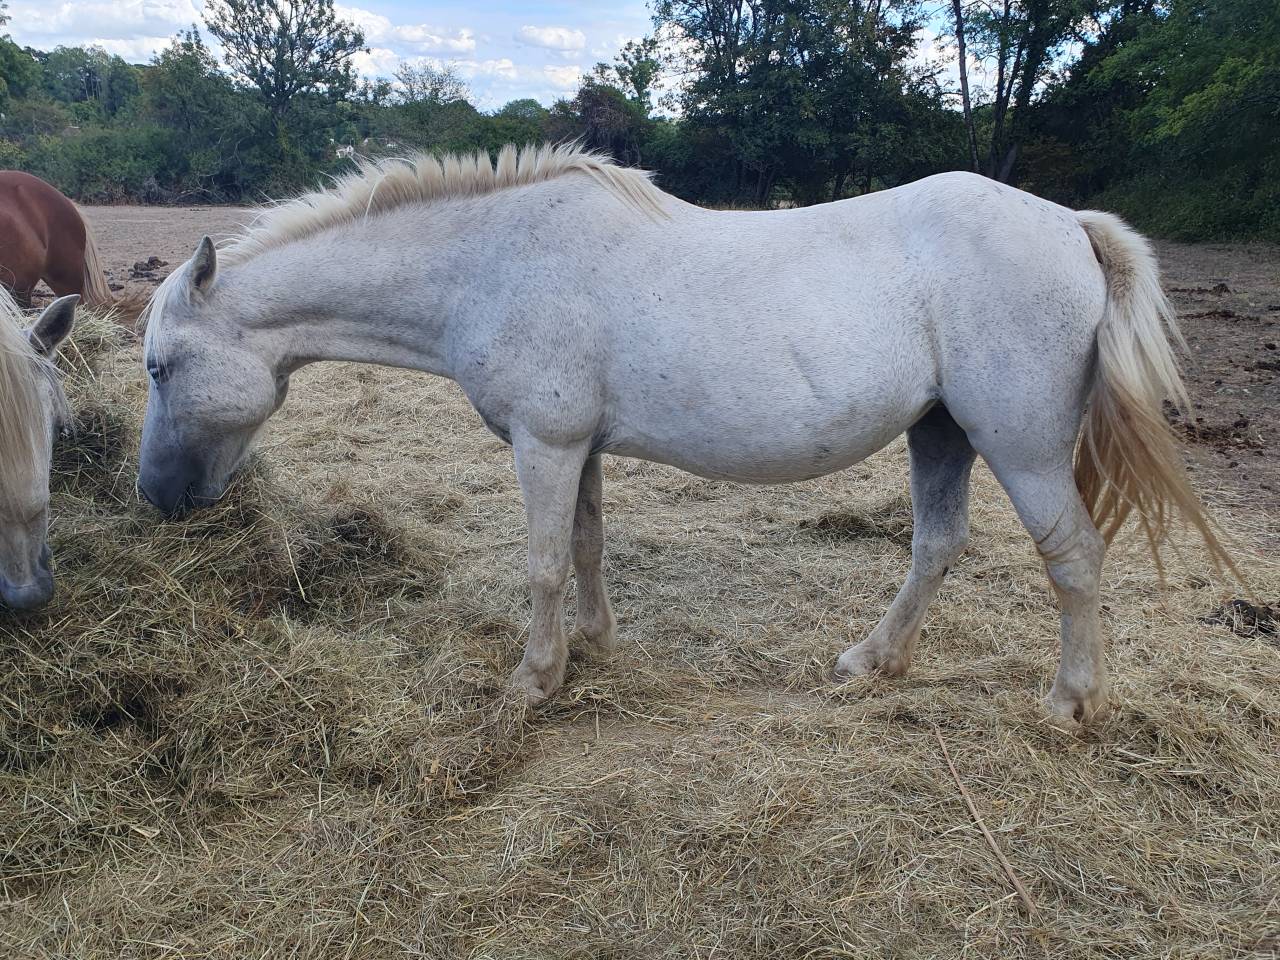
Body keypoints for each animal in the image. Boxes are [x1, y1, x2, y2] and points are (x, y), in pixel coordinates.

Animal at [136, 143, 1232, 725]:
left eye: (158, 366)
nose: (154, 498)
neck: (492, 262)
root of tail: (1069, 224)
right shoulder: (574, 447)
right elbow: (584, 546)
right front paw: (591, 642)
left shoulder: (542, 443)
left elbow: (541, 561)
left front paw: (533, 682)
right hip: (941, 434)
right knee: (936, 546)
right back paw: (871, 661)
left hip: (1019, 446)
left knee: (1073, 559)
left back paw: (1068, 702)